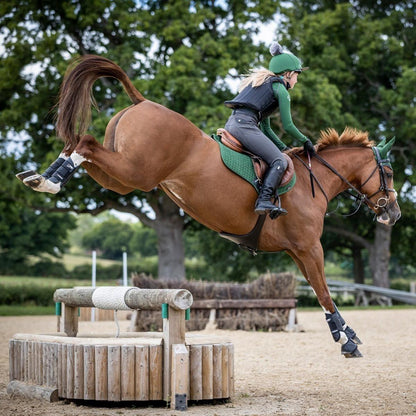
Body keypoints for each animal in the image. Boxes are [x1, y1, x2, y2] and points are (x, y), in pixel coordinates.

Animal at [15, 55, 400, 358]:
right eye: (390, 173)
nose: (393, 213)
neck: (312, 181)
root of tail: (142, 102)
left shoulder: (297, 251)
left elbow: (320, 291)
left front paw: (346, 335)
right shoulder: (309, 248)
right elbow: (324, 292)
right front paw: (347, 339)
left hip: (124, 179)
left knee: (81, 146)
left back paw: (42, 178)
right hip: (136, 172)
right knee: (85, 143)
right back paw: (48, 180)